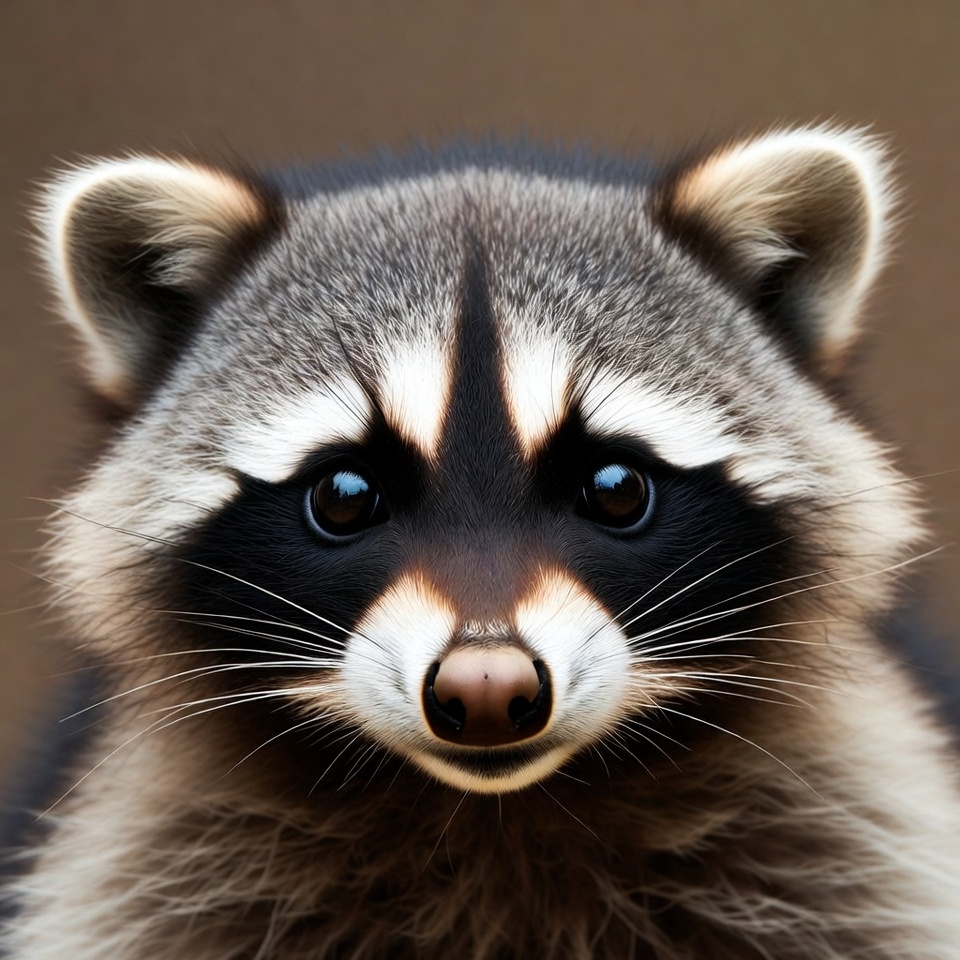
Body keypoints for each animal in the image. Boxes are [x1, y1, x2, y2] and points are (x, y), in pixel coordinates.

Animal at [4, 126, 960, 959]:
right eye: (346, 497)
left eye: (616, 488)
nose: (490, 689)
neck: (493, 811)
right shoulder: (140, 875)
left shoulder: (860, 849)